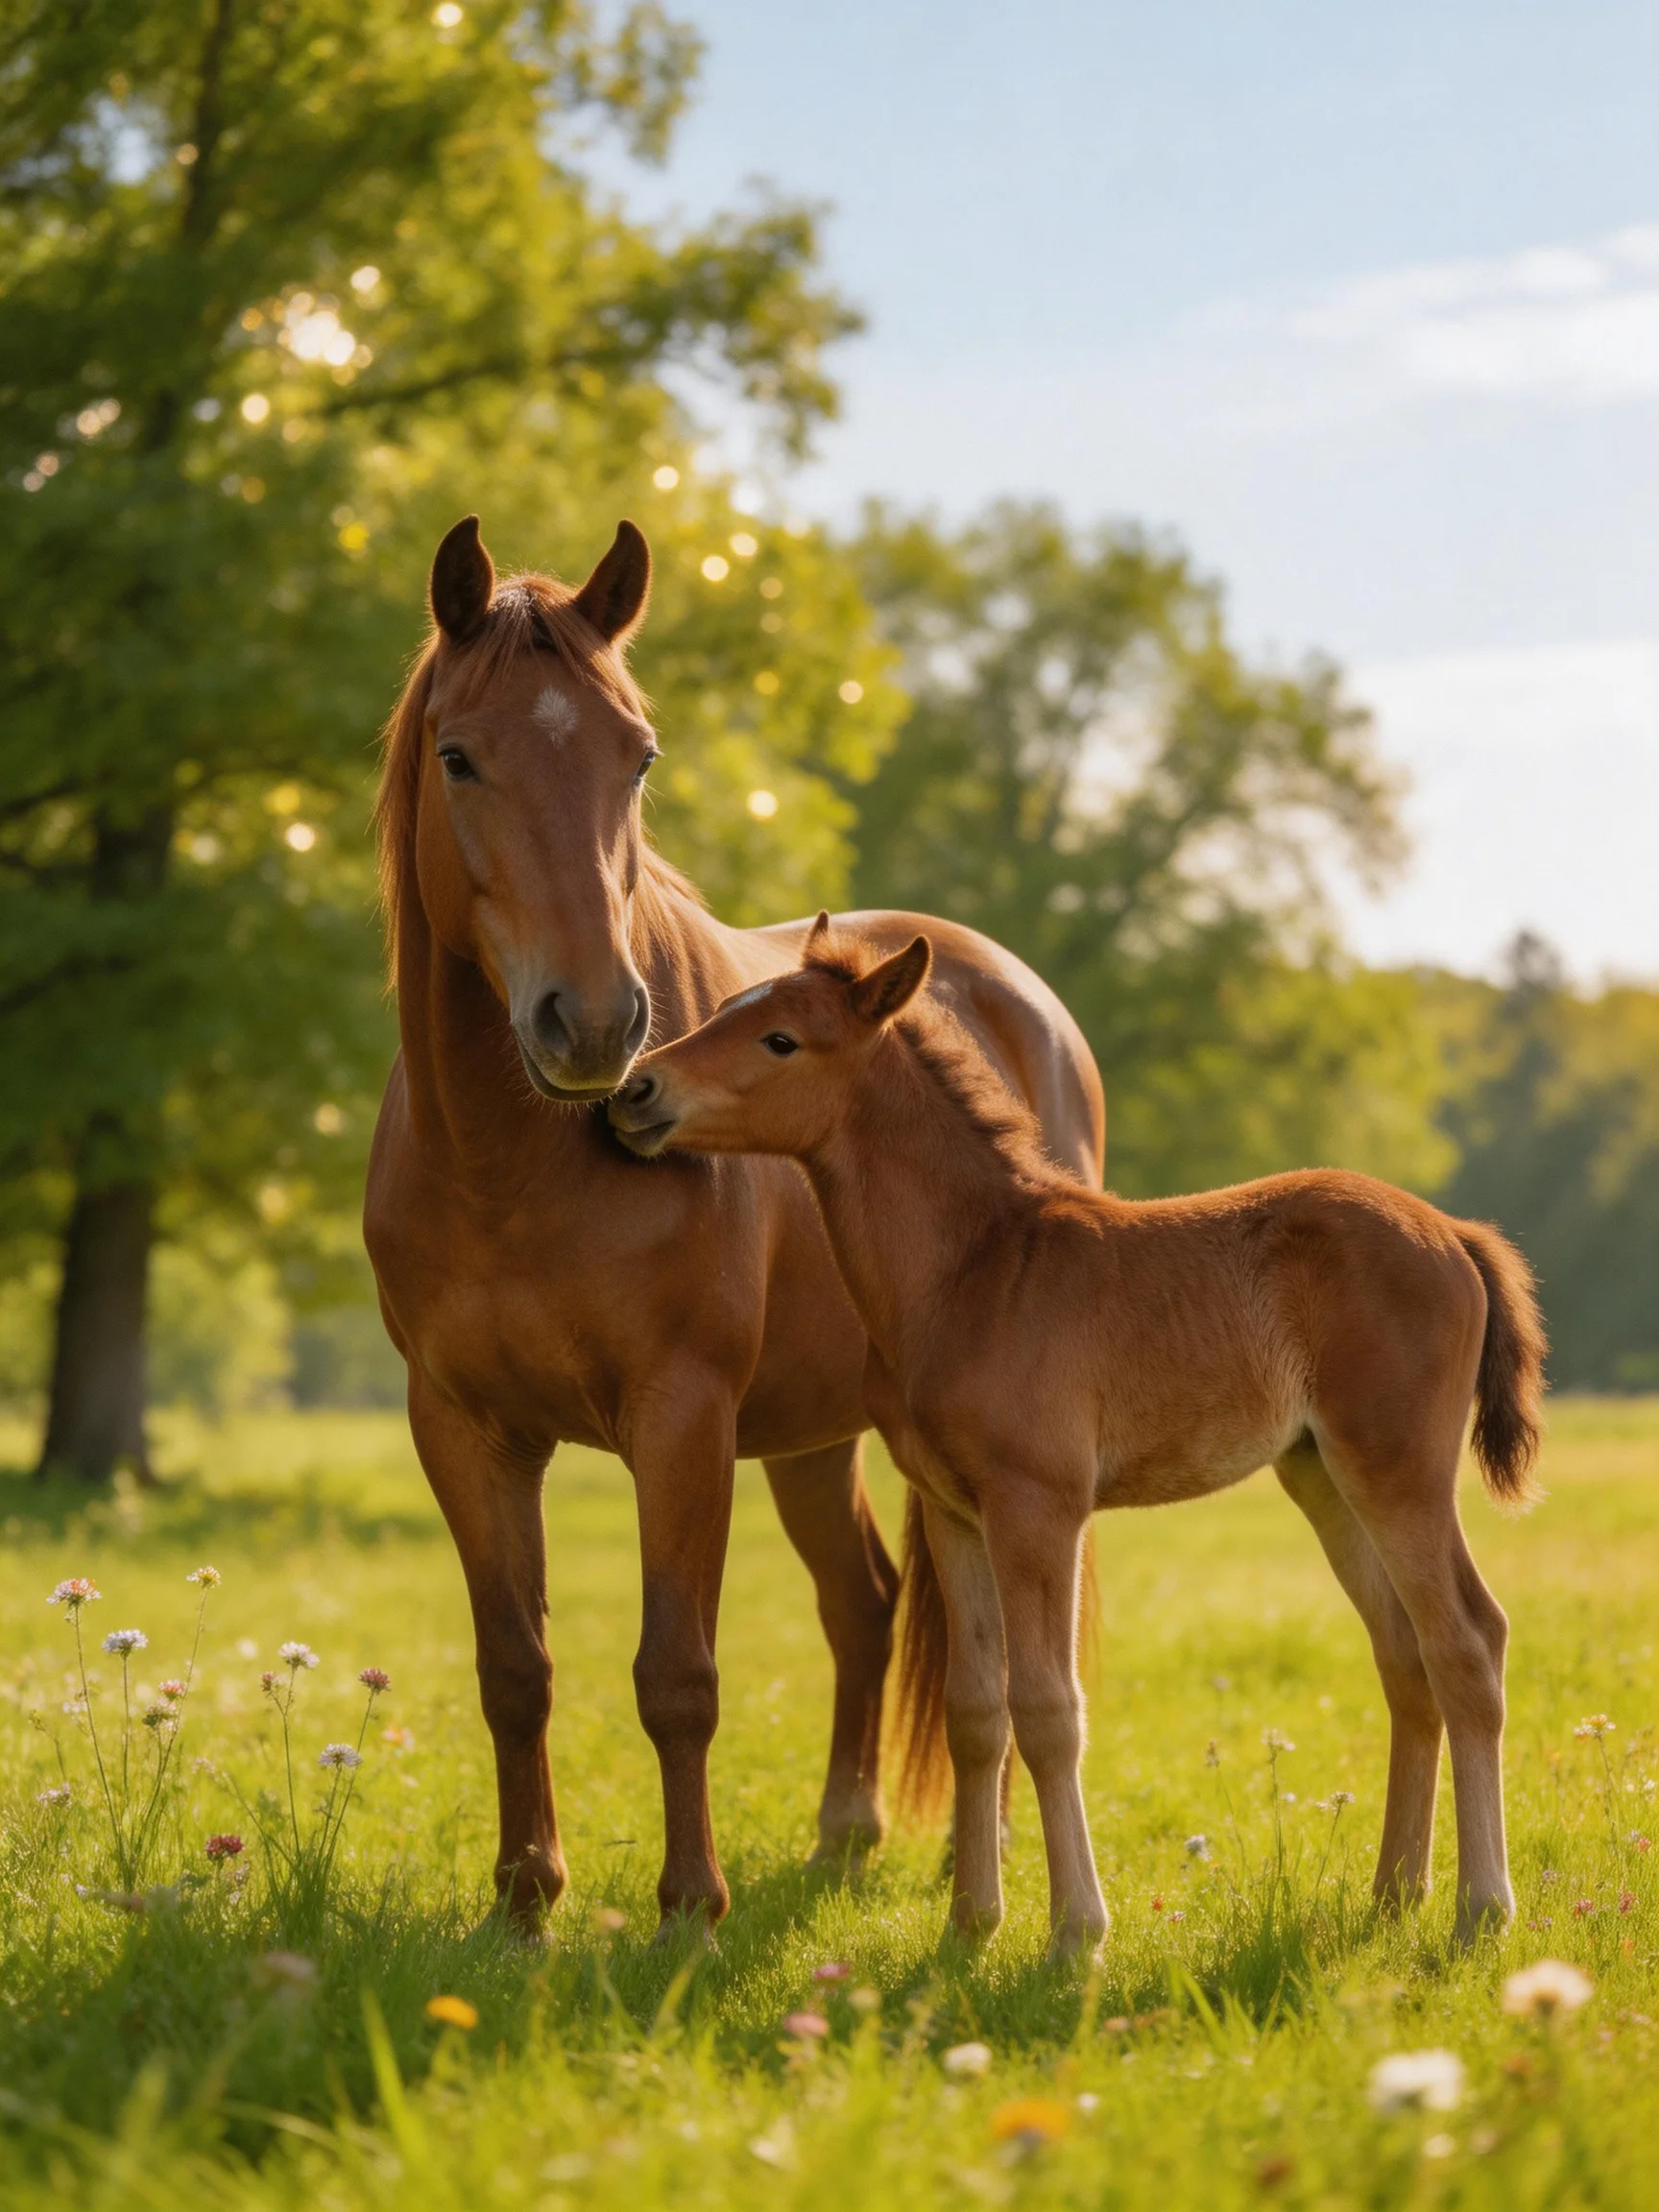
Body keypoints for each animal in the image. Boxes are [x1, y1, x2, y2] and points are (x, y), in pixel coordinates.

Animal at [364, 516, 1104, 1933]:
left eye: (637, 754)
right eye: (460, 755)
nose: (598, 1027)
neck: (506, 1167)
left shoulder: (682, 1414)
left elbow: (677, 1675)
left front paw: (689, 1909)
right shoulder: (464, 1429)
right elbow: (515, 1669)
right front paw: (524, 1902)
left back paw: (960, 1861)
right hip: (818, 1434)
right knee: (867, 1607)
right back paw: (847, 1836)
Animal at [608, 922, 1547, 1952]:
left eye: (780, 1040)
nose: (636, 1091)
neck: (970, 1271)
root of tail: (1455, 1234)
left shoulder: (1039, 1510)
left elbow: (1049, 1709)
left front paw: (1073, 1935)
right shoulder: (955, 1514)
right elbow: (975, 1711)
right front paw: (969, 1926)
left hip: (1397, 1469)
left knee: (1468, 1642)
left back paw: (1480, 1909)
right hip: (1323, 1478)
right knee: (1404, 1655)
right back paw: (1393, 1894)